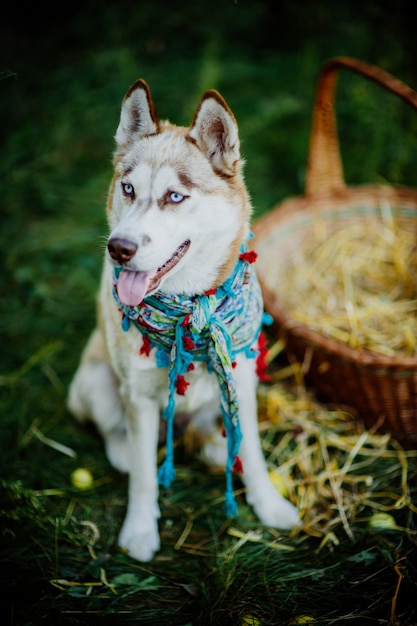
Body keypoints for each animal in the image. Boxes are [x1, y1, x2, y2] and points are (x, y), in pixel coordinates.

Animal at [67, 78, 296, 560]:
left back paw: (215, 448)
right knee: (118, 435)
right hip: (95, 383)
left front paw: (268, 505)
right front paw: (139, 530)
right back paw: (128, 450)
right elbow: (142, 478)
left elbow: (255, 454)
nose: (119, 248)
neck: (190, 310)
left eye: (175, 197)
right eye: (128, 189)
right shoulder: (138, 397)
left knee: (214, 432)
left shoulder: (241, 380)